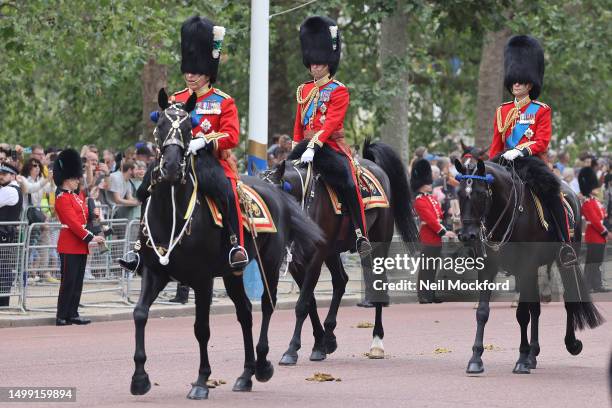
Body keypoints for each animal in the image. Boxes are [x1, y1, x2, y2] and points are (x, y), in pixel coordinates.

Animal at [130, 91, 326, 400]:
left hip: (269, 263)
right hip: (233, 273)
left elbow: (201, 328)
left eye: (187, 129)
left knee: (266, 307)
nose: (171, 167)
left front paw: (201, 381)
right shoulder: (155, 271)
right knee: (244, 312)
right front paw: (139, 378)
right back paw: (245, 375)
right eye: (160, 124)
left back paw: (263, 365)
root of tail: (278, 193)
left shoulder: (202, 279)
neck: (171, 211)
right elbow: (139, 314)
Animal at [266, 139, 418, 364]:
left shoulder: (316, 256)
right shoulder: (295, 262)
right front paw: (319, 344)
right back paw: (329, 337)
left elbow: (302, 304)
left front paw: (291, 350)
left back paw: (376, 343)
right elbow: (309, 302)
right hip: (333, 251)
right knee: (341, 281)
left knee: (376, 283)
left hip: (376, 245)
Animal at [454, 158, 604, 374]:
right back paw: (533, 353)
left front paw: (522, 359)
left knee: (567, 299)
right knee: (536, 308)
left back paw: (570, 344)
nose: (467, 235)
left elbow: (522, 314)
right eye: (458, 193)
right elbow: (483, 311)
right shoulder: (489, 268)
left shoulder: (525, 266)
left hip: (564, 259)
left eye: (481, 193)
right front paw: (476, 358)